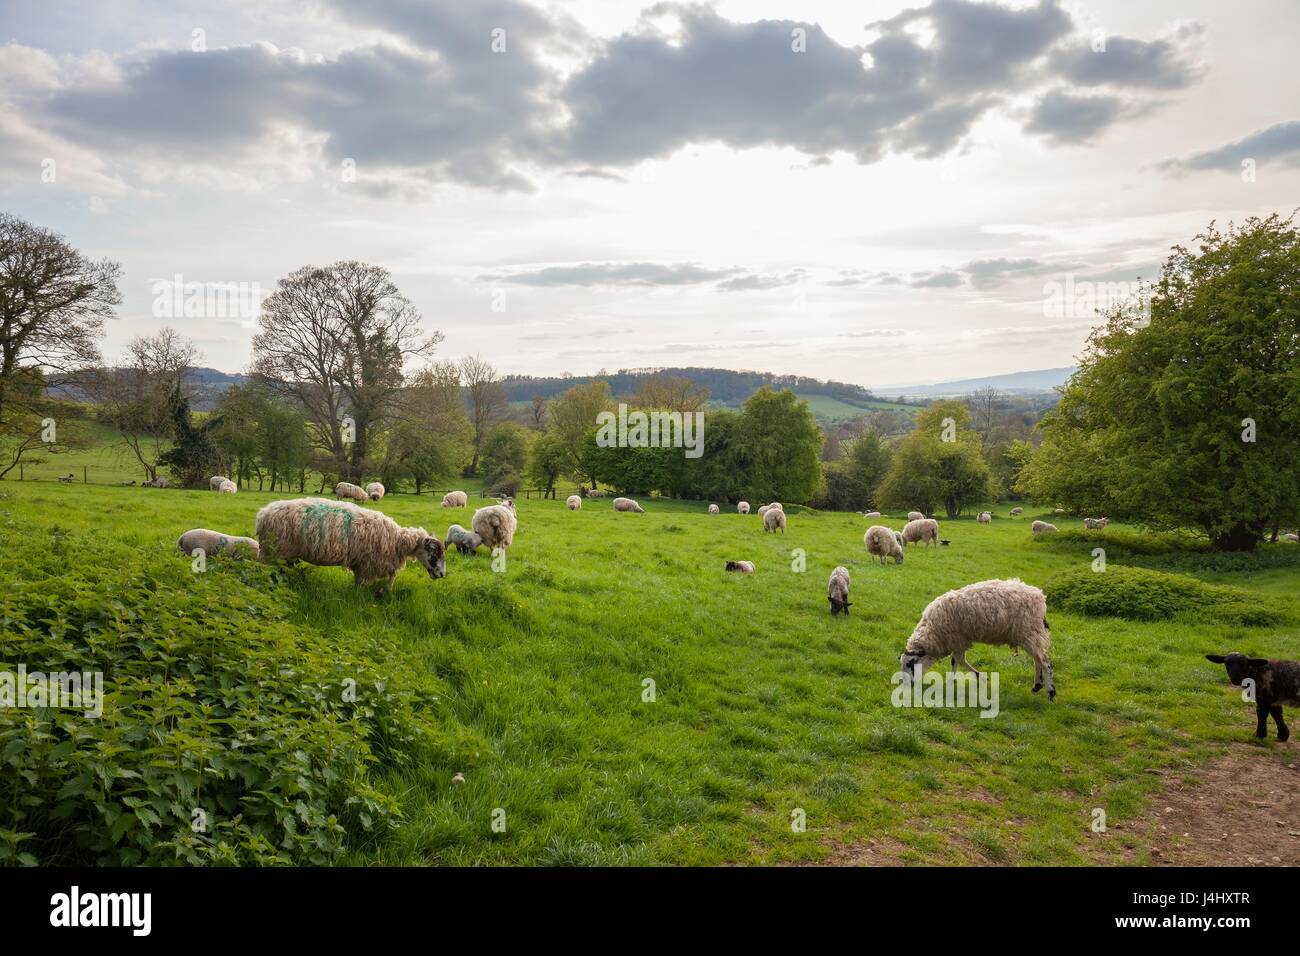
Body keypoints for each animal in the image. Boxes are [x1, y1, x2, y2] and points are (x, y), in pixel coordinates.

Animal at [253, 496, 447, 595]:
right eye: (434, 552)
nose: (442, 575)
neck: (397, 541)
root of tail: (262, 514)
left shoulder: (375, 561)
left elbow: (391, 576)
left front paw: (386, 592)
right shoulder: (368, 562)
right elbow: (364, 582)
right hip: (274, 551)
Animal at [904, 574, 1055, 702]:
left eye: (910, 664)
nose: (907, 685)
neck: (933, 631)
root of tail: (1040, 597)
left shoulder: (958, 639)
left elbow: (955, 661)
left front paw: (950, 683)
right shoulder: (963, 640)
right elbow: (962, 660)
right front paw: (981, 677)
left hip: (1029, 631)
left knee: (1045, 662)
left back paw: (1051, 692)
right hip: (1030, 634)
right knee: (1038, 660)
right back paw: (1037, 686)